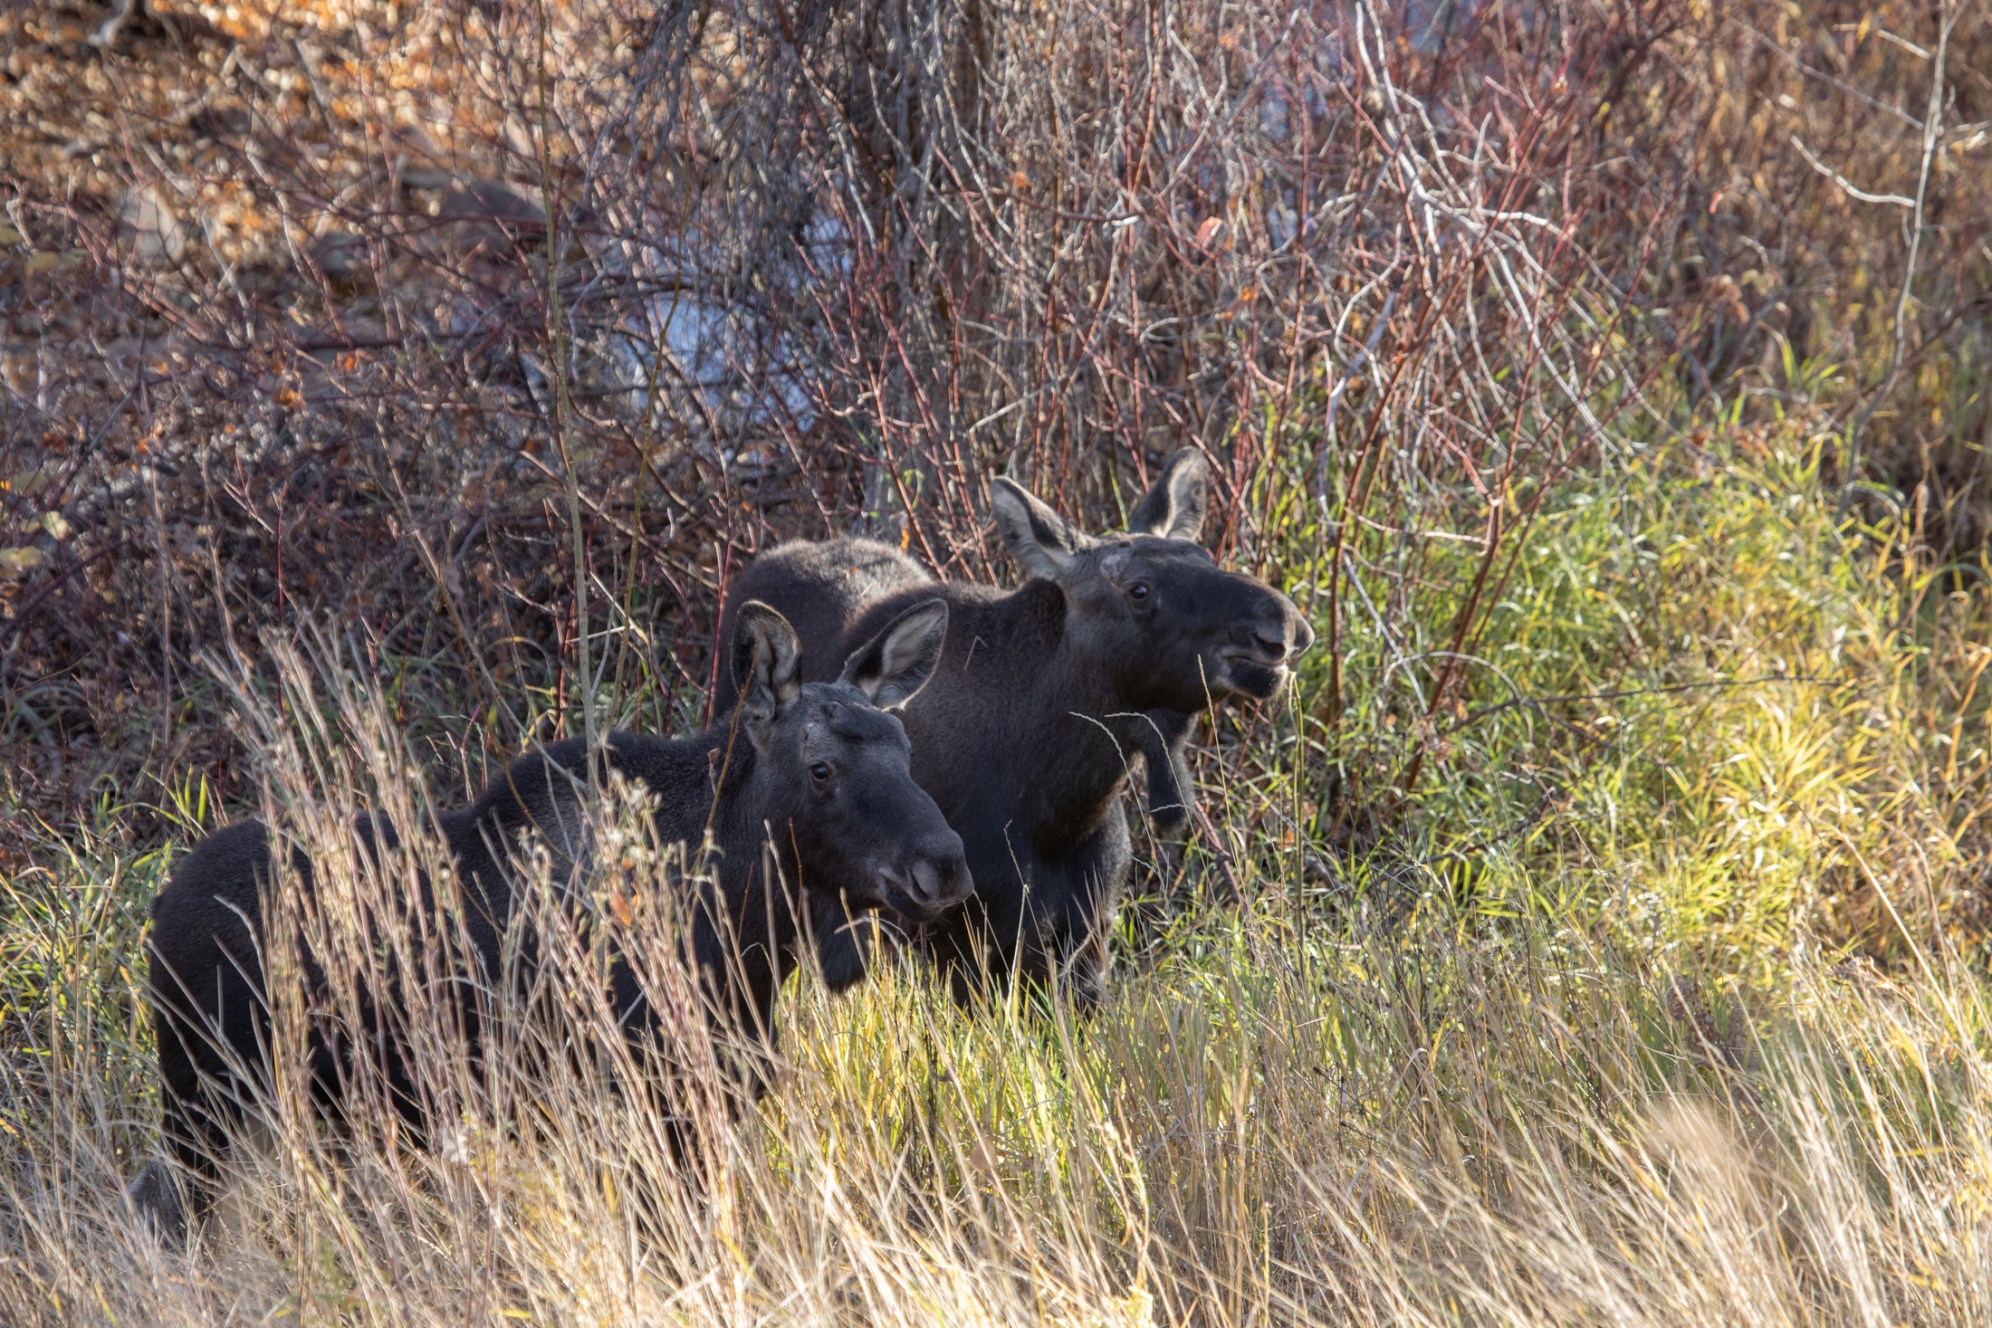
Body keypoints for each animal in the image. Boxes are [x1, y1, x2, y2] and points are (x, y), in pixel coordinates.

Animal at [128, 601, 968, 1250]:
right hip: (203, 1092)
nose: (946, 863)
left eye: (905, 751)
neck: (742, 935)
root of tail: (160, 904)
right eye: (821, 768)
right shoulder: (634, 1107)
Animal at [725, 451, 1314, 1011]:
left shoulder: (1089, 936)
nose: (1284, 627)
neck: (1061, 801)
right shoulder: (957, 941)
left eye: (1206, 557)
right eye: (1139, 589)